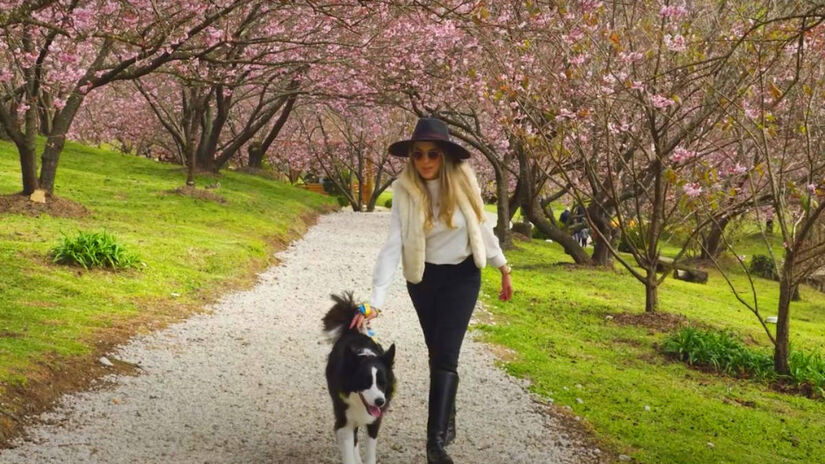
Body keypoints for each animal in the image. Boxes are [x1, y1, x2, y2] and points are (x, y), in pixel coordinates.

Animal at [322, 292, 396, 462]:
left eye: (382, 383)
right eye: (365, 382)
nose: (379, 401)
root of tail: (352, 331)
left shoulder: (375, 421)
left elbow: (370, 453)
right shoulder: (344, 421)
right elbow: (349, 451)